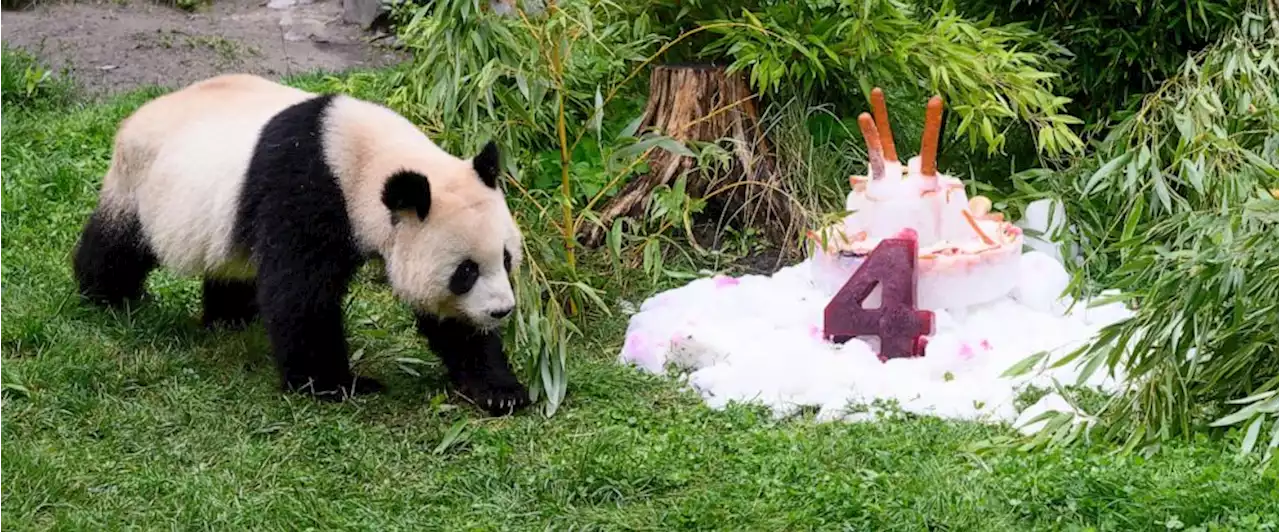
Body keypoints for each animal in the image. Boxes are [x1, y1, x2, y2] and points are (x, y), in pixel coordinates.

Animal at [71, 73, 529, 414]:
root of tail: (134, 117)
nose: (501, 311)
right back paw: (108, 295)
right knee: (118, 246)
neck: (364, 159)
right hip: (140, 185)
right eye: (465, 271)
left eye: (506, 260)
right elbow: (301, 294)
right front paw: (337, 385)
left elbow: (449, 320)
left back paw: (231, 317)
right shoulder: (306, 190)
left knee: (232, 266)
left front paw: (499, 389)